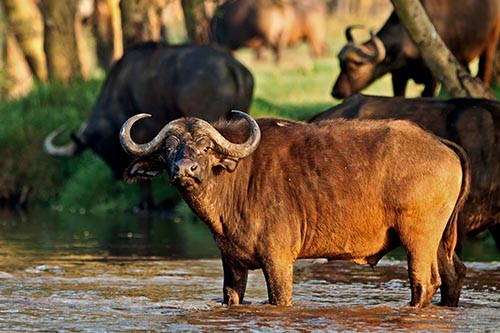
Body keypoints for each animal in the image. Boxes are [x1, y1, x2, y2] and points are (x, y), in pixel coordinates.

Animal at [44, 40, 254, 208]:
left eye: (98, 149)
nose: (116, 175)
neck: (120, 90)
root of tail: (232, 66)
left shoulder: (142, 135)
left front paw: (144, 204)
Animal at [120, 111, 468, 306]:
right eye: (168, 149)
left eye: (205, 148)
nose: (184, 169)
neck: (236, 180)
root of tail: (439, 142)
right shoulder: (231, 263)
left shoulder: (278, 260)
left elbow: (279, 299)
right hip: (438, 241)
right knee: (453, 276)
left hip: (418, 238)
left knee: (424, 283)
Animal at [332, 0, 500, 98]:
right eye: (340, 65)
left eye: (356, 65)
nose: (336, 92)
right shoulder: (398, 76)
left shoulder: (433, 78)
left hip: (490, 45)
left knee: (484, 74)